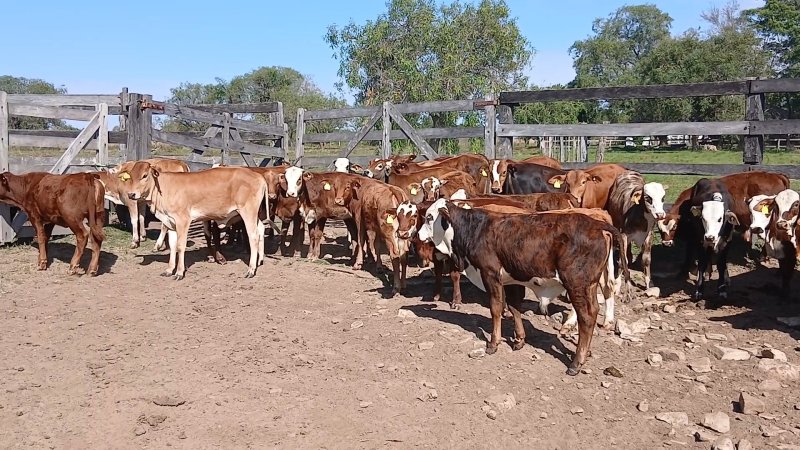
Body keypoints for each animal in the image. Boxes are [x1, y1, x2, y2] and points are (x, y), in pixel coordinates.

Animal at [121, 163, 270, 280]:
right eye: (131, 176)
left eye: (145, 175)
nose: (131, 194)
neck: (163, 188)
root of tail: (258, 176)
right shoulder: (171, 223)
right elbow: (173, 246)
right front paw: (169, 270)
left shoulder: (183, 220)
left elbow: (180, 246)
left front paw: (179, 272)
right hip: (254, 215)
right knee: (261, 230)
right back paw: (259, 261)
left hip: (248, 212)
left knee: (253, 236)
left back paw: (251, 270)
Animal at [418, 198, 628, 375]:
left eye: (429, 217)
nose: (418, 234)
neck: (475, 229)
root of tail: (598, 224)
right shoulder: (511, 280)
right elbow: (514, 307)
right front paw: (519, 340)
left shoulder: (490, 274)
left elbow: (496, 308)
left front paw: (493, 343)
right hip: (589, 286)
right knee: (594, 311)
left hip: (577, 284)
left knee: (586, 316)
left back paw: (576, 362)